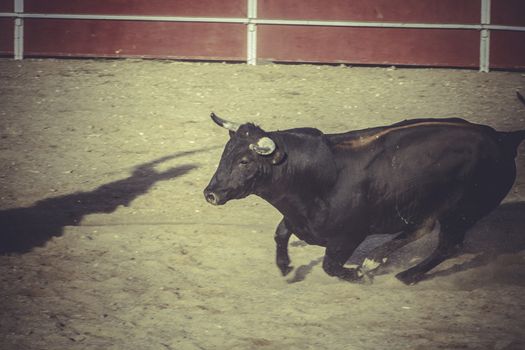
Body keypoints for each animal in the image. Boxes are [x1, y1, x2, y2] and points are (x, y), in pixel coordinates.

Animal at [202, 113, 524, 284]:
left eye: (245, 161)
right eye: (225, 154)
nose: (210, 193)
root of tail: (501, 138)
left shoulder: (349, 236)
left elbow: (330, 266)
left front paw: (359, 274)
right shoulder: (298, 218)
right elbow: (281, 233)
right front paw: (285, 267)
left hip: (462, 212)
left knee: (447, 245)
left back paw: (404, 274)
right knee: (423, 228)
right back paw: (377, 259)